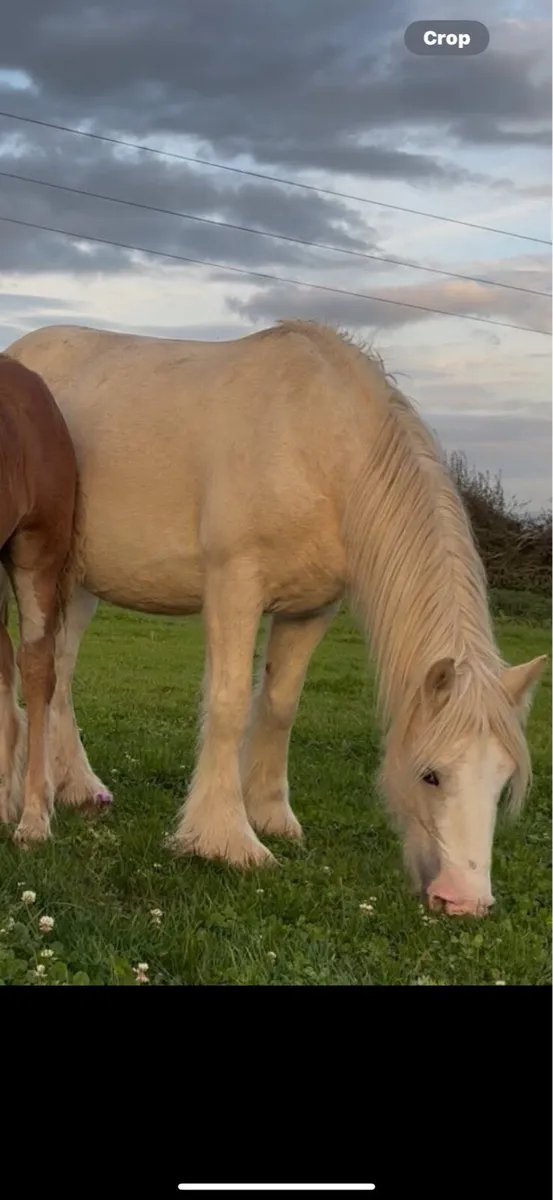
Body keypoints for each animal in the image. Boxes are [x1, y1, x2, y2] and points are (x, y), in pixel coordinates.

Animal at [4, 320, 545, 915]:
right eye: (431, 776)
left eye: (502, 781)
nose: (465, 900)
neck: (319, 441)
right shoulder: (234, 584)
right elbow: (230, 703)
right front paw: (224, 839)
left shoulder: (311, 609)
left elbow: (281, 706)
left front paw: (270, 815)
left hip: (76, 583)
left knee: (59, 670)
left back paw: (75, 787)